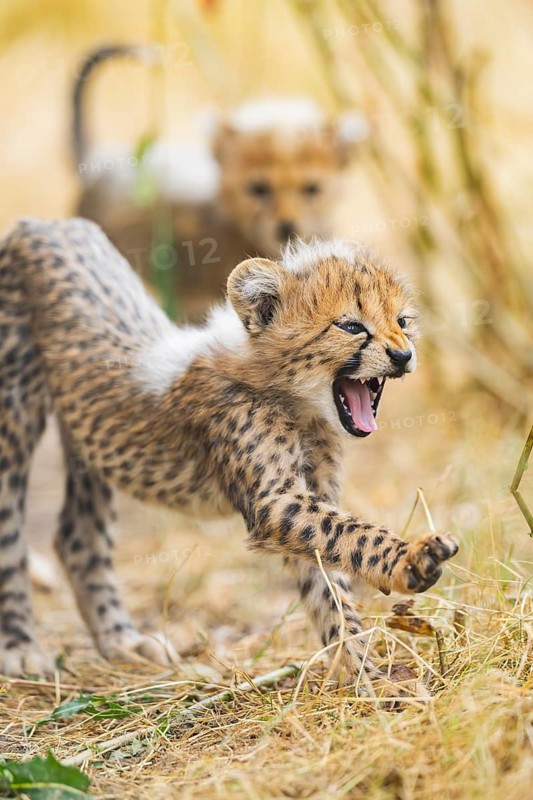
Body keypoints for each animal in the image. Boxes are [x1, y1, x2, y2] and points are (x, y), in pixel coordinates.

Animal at [0, 217, 458, 689]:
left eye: (402, 321)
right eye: (350, 327)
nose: (403, 354)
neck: (298, 402)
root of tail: (45, 222)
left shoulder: (311, 497)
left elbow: (330, 584)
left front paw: (365, 678)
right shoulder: (275, 503)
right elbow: (354, 536)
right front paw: (411, 559)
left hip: (89, 434)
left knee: (77, 536)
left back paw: (123, 642)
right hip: (14, 412)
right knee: (11, 532)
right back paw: (21, 649)